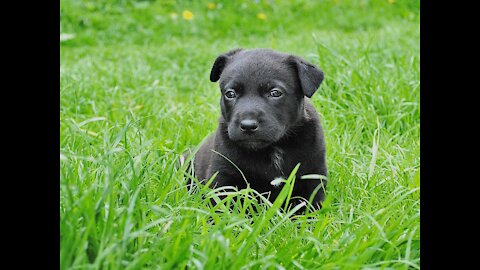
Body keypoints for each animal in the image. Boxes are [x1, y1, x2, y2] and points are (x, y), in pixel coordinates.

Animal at [186, 48, 328, 209]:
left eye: (275, 92)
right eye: (230, 94)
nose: (248, 126)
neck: (274, 148)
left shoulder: (312, 175)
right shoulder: (223, 175)